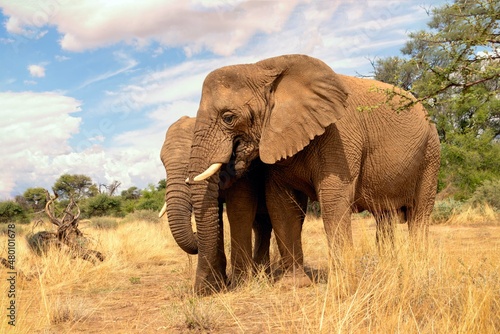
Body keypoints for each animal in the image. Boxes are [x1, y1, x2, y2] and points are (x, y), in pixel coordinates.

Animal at [160, 115, 308, 290]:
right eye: (162, 162)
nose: (195, 235)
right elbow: (216, 216)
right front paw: (214, 288)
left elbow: (238, 209)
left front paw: (239, 284)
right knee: (261, 225)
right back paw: (261, 274)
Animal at [186, 53, 440, 294]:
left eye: (228, 118)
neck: (261, 68)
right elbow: (282, 207)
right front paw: (293, 285)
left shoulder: (339, 137)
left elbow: (333, 202)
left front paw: (342, 289)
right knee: (384, 217)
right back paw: (387, 270)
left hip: (431, 153)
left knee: (419, 215)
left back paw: (419, 271)